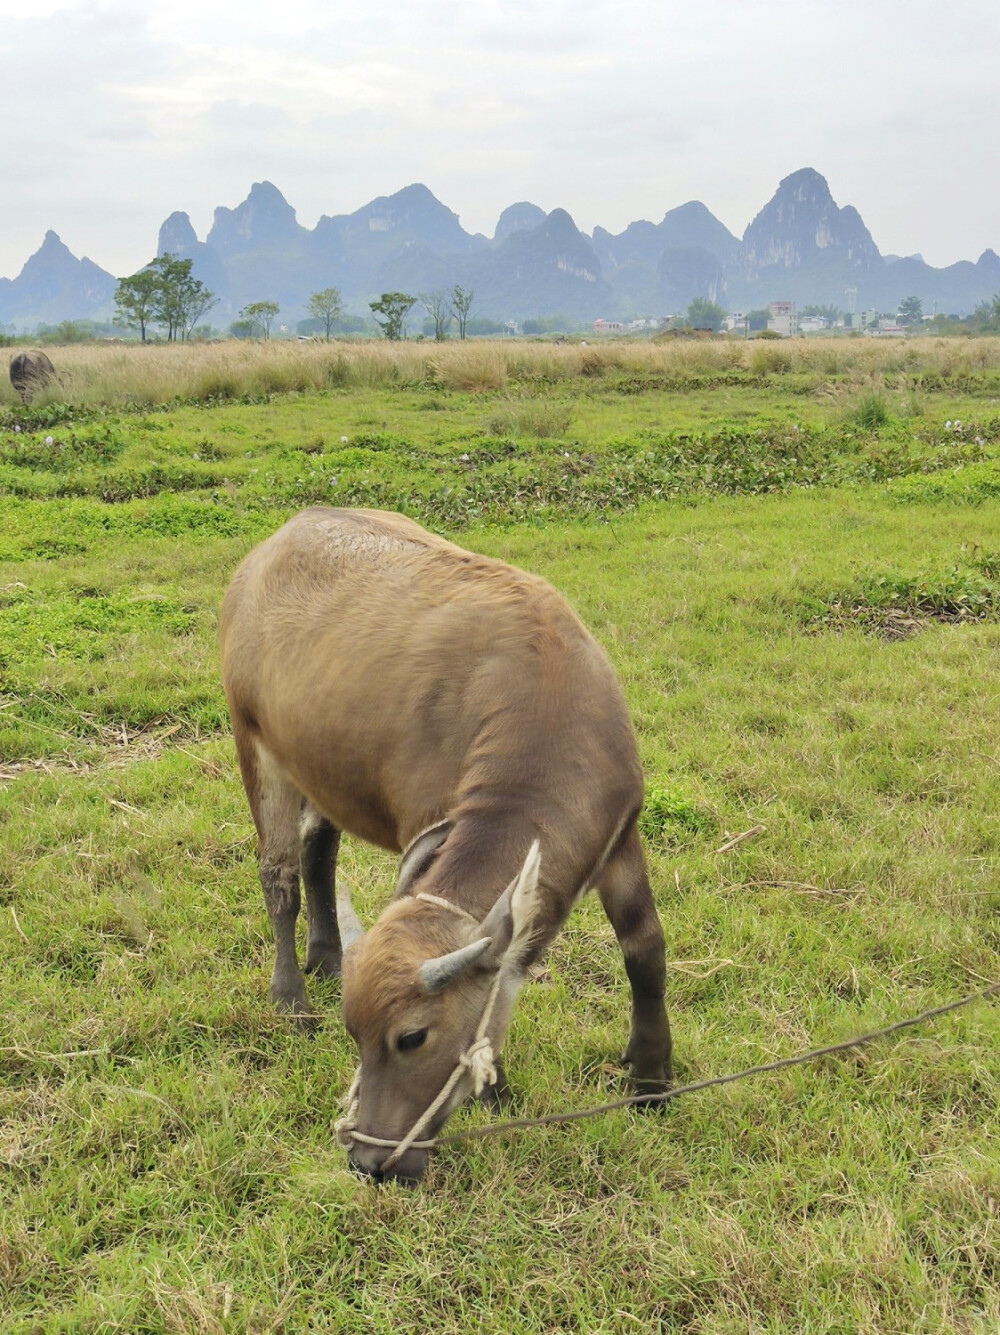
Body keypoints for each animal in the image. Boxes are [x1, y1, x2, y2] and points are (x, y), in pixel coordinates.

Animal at [218, 507, 670, 1180]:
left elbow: (645, 950)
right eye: (355, 1036)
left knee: (318, 852)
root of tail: (273, 544)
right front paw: (495, 1084)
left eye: (411, 1037)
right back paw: (290, 998)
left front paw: (652, 1080)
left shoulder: (621, 838)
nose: (367, 1160)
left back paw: (328, 955)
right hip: (255, 746)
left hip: (324, 766)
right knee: (279, 877)